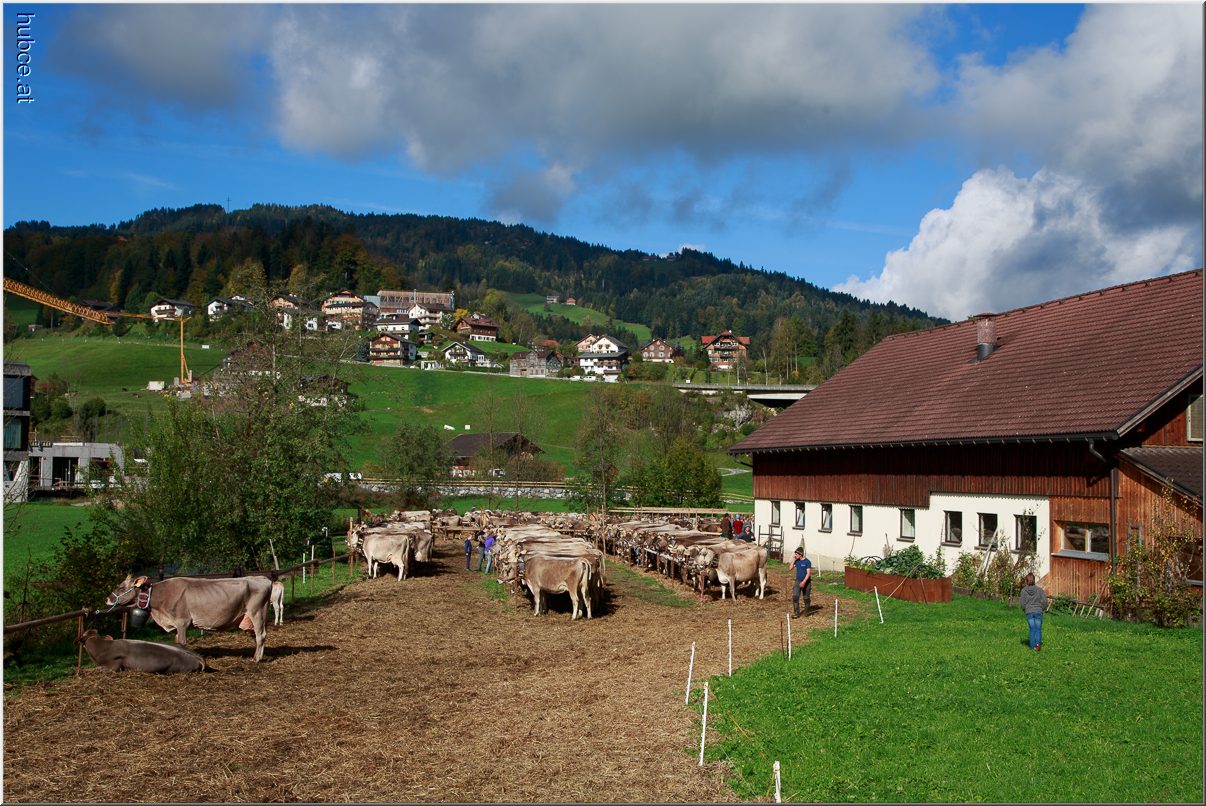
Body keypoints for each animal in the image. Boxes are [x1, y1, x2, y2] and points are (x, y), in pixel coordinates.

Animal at [105, 574, 273, 662]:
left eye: (121, 587)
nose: (107, 599)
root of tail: (263, 578)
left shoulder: (182, 621)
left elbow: (181, 642)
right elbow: (176, 642)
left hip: (257, 612)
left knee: (261, 635)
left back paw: (257, 659)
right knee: (257, 636)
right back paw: (256, 655)